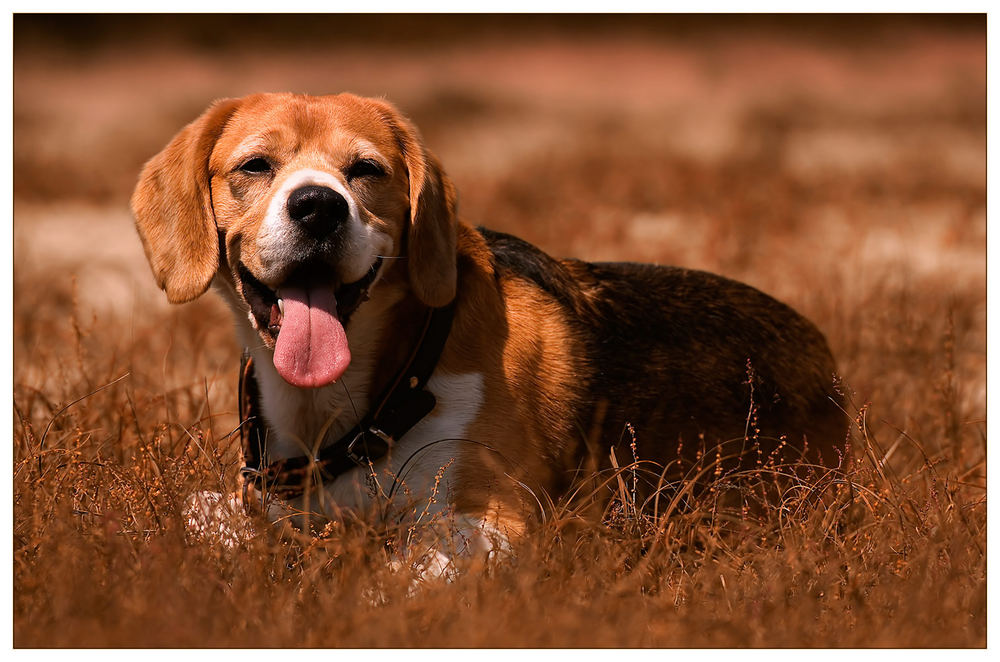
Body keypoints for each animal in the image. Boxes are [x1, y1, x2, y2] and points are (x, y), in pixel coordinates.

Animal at [131, 93, 844, 564]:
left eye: (367, 170)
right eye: (255, 166)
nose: (318, 207)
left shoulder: (494, 519)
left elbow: (399, 570)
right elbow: (200, 513)